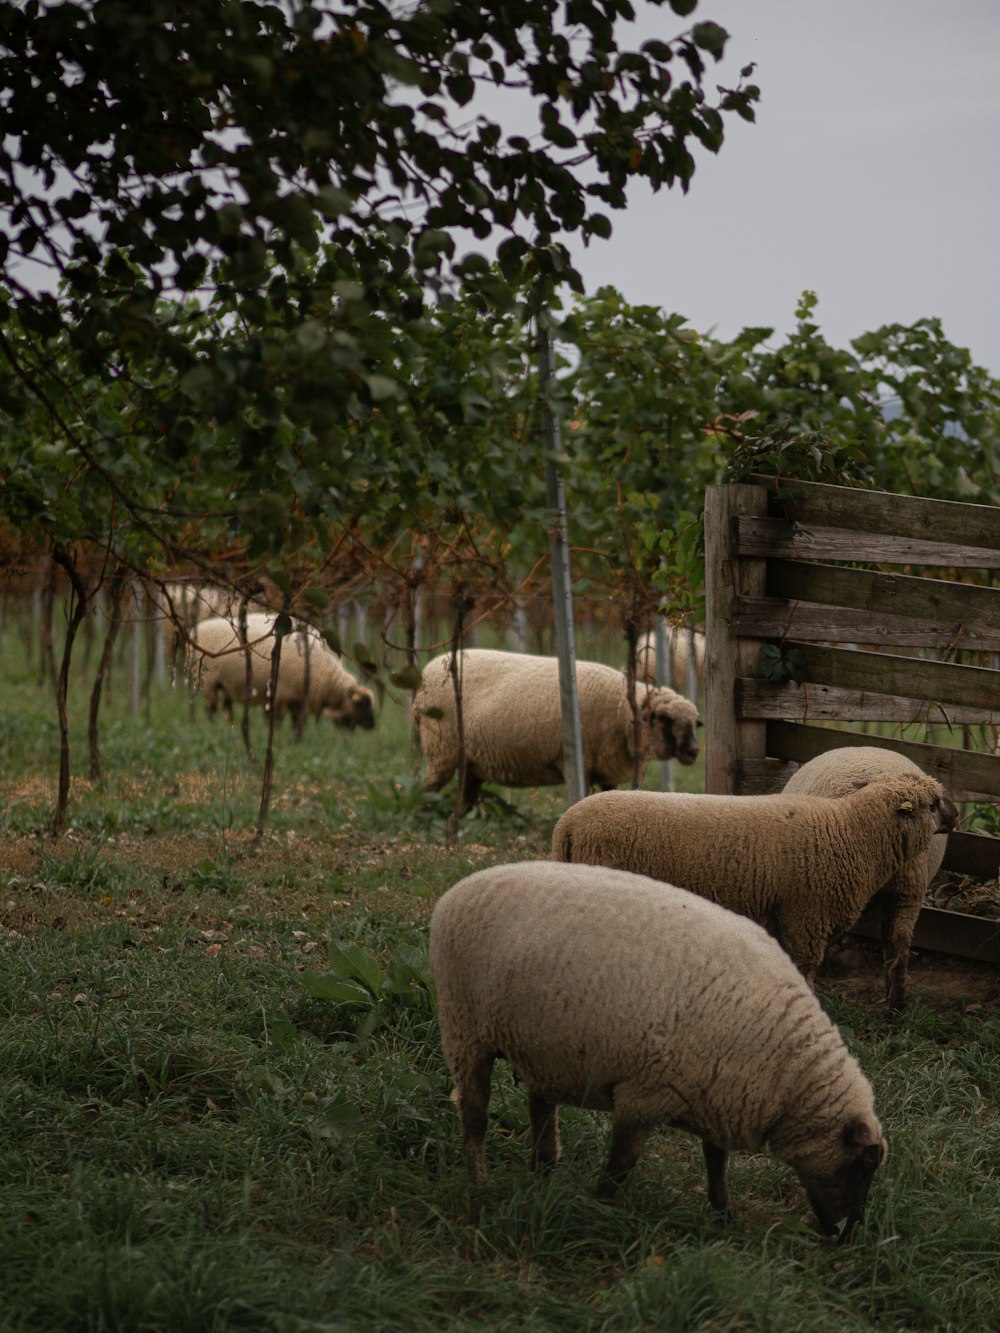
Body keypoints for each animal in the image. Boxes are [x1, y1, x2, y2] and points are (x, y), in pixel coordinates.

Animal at [188, 610, 376, 730]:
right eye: (361, 704)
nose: (372, 726)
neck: (328, 679)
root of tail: (195, 629)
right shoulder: (282, 694)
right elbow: (277, 720)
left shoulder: (298, 698)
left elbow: (296, 722)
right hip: (207, 680)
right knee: (210, 708)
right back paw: (212, 726)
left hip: (225, 684)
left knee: (227, 709)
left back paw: (227, 726)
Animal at [410, 647, 698, 810]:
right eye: (664, 719)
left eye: (696, 723)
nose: (694, 751)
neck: (622, 708)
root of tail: (428, 671)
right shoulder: (577, 763)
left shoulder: (608, 771)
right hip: (442, 746)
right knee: (430, 787)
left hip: (471, 759)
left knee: (466, 794)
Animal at [432, 858, 885, 1231]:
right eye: (862, 1166)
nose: (847, 1235)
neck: (786, 1069)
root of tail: (458, 889)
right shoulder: (646, 1093)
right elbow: (622, 1163)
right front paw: (601, 1207)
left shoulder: (718, 1093)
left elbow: (716, 1161)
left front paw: (724, 1214)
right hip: (464, 1028)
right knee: (474, 1115)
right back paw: (479, 1182)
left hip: (542, 1045)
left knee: (540, 1108)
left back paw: (543, 1172)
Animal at [552, 773, 960, 991]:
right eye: (933, 803)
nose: (957, 816)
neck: (852, 832)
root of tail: (567, 822)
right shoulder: (806, 916)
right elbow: (805, 968)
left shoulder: (782, 915)